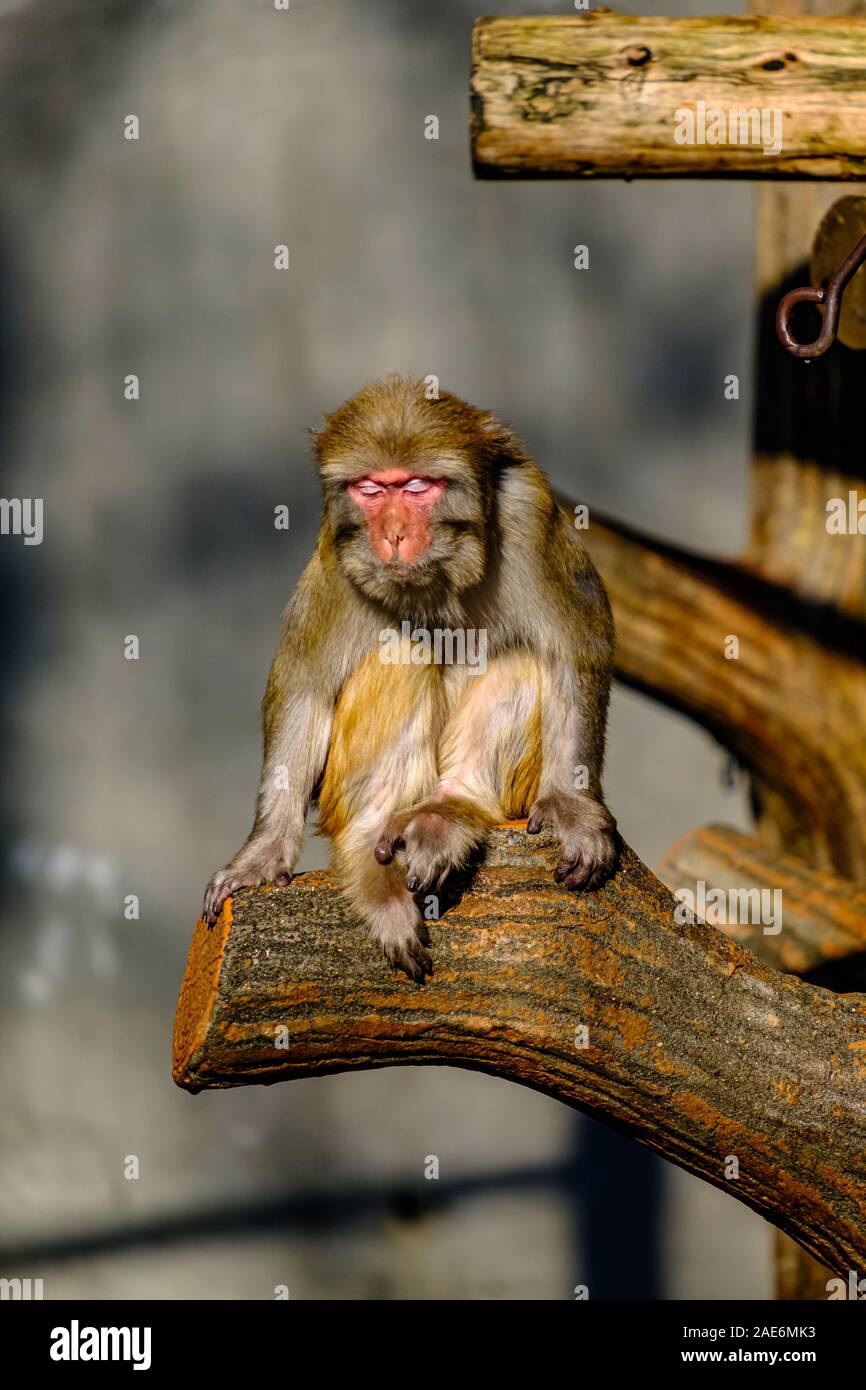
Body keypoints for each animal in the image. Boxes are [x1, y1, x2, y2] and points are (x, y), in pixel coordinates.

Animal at [202, 372, 617, 978]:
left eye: (418, 487)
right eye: (372, 490)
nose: (393, 533)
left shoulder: (528, 510)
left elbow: (572, 646)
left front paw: (570, 803)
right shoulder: (336, 544)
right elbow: (305, 687)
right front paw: (263, 851)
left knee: (523, 658)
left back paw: (451, 807)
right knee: (402, 652)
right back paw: (374, 861)